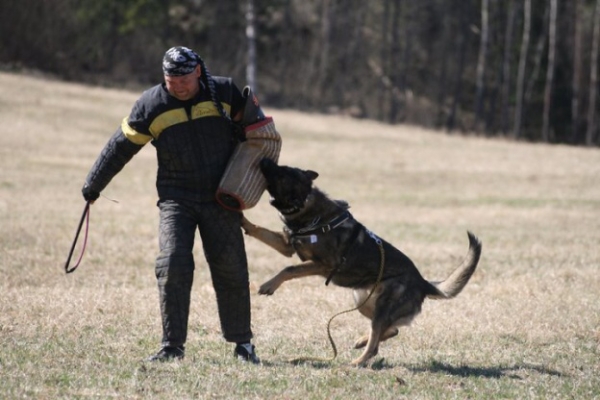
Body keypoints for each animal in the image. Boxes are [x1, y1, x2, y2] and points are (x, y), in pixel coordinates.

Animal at [241, 158, 480, 368]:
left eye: (283, 171)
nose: (264, 160)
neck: (307, 209)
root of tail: (423, 282)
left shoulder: (322, 264)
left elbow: (288, 268)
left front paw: (269, 285)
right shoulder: (286, 246)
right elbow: (258, 230)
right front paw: (241, 217)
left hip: (381, 305)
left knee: (377, 343)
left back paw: (357, 362)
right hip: (362, 300)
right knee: (390, 330)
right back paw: (361, 341)